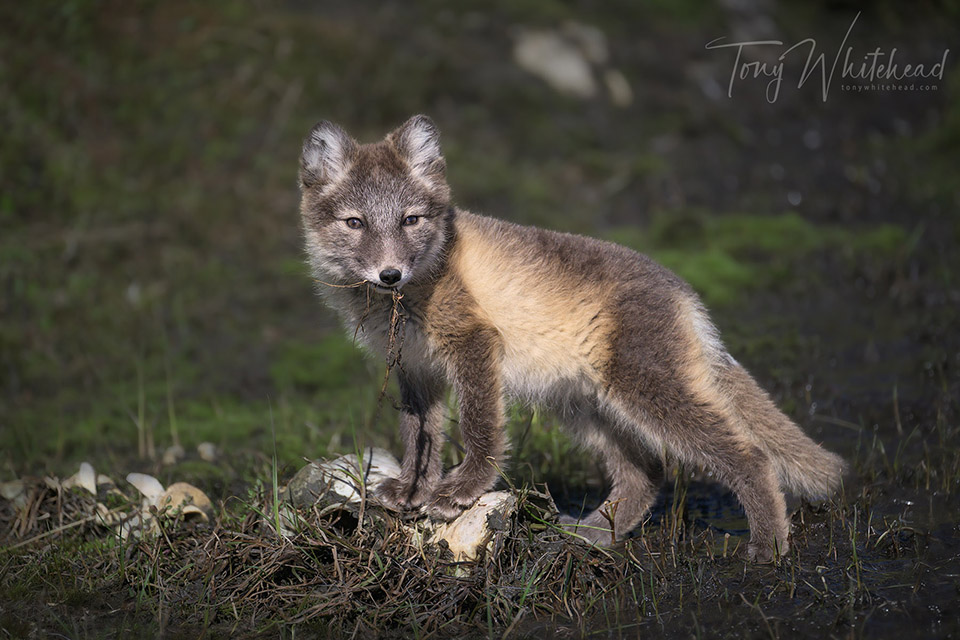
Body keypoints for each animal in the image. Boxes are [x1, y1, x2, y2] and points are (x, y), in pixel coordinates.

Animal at [297, 114, 846, 562]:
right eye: (355, 223)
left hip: (645, 392)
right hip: (586, 408)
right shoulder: (416, 370)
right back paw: (594, 535)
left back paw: (768, 546)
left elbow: (479, 429)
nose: (390, 274)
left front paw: (464, 489)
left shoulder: (474, 343)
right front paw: (412, 492)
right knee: (647, 474)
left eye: (411, 219)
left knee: (749, 456)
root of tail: (685, 296)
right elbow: (419, 440)